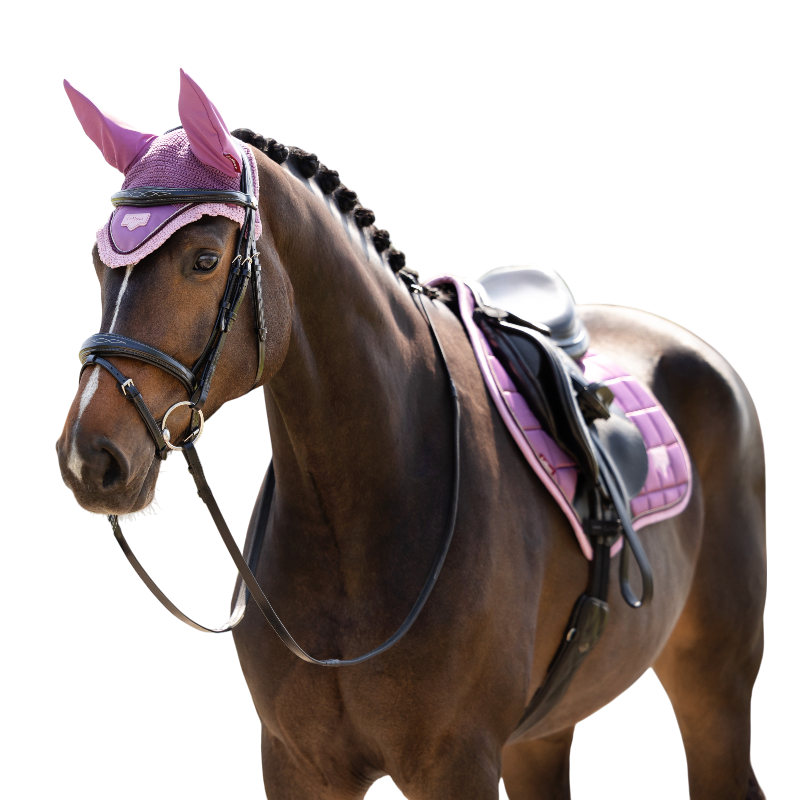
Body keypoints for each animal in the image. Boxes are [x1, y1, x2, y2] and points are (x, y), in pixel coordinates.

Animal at [56, 72, 766, 799]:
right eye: (98, 261)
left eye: (203, 259)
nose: (92, 457)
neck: (358, 509)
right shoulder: (298, 765)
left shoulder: (456, 764)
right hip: (541, 736)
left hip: (714, 685)